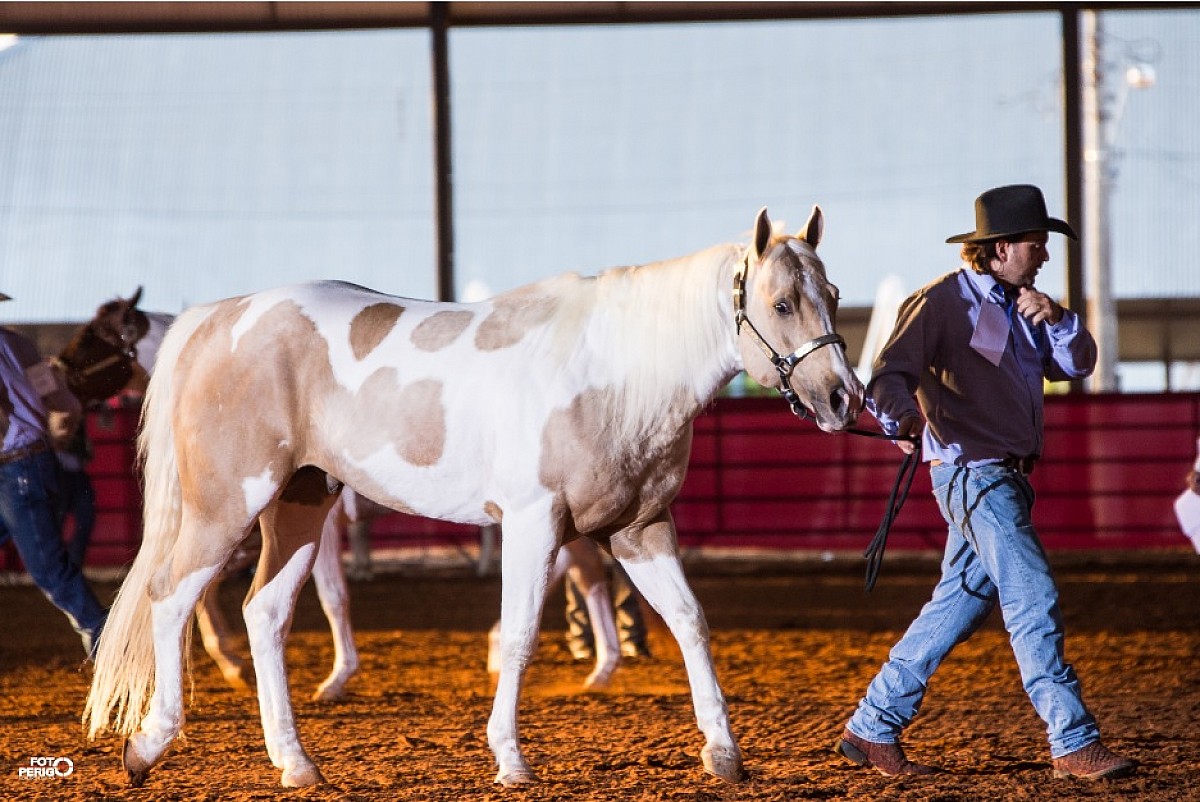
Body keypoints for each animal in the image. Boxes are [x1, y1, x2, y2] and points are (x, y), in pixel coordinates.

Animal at [88, 208, 868, 787]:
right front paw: (511, 759)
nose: (842, 399)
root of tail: (221, 320)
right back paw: (149, 745)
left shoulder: (641, 527)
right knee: (170, 596)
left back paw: (296, 762)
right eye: (781, 303)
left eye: (831, 297)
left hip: (302, 505)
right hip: (227, 506)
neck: (614, 369)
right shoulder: (533, 522)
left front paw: (723, 752)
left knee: (266, 614)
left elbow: (689, 621)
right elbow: (520, 635)